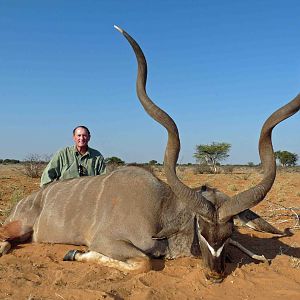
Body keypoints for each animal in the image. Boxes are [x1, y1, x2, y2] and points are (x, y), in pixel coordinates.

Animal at [0, 26, 300, 284]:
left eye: (230, 232)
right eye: (201, 231)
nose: (214, 274)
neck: (160, 209)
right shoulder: (106, 240)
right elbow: (143, 262)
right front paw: (74, 253)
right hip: (16, 229)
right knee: (4, 242)